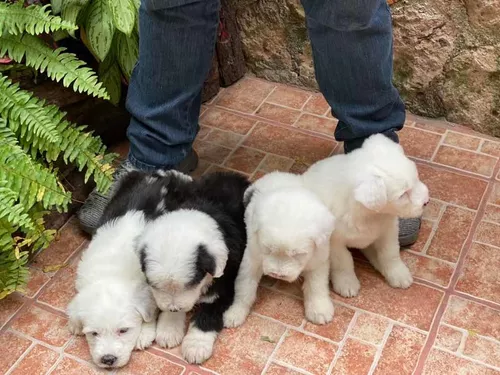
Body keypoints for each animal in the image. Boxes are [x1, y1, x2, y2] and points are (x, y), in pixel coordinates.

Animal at [67, 212, 156, 370]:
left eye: (123, 330)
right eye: (94, 333)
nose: (108, 359)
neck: (110, 275)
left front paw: (144, 334)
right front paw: (75, 324)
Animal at [138, 173, 249, 364]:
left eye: (192, 284)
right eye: (155, 286)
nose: (174, 309)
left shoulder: (223, 285)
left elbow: (208, 313)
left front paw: (196, 347)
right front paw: (169, 330)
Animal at [224, 172, 334, 328]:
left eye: (298, 254)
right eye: (268, 249)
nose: (277, 274)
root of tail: (279, 174)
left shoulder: (319, 259)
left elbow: (316, 285)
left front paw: (319, 310)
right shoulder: (252, 257)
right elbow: (245, 286)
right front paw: (236, 312)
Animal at [300, 134, 430, 298]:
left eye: (417, 178)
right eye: (402, 195)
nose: (426, 202)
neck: (369, 214)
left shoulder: (389, 231)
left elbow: (390, 253)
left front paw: (398, 273)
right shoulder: (335, 242)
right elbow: (344, 261)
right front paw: (346, 282)